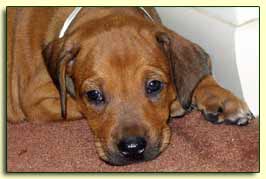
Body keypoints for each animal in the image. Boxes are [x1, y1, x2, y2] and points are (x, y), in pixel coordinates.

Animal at [7, 7, 255, 166]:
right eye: (93, 95)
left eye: (154, 85)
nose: (133, 148)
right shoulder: (37, 101)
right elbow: (75, 104)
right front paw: (177, 103)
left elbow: (195, 73)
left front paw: (222, 98)